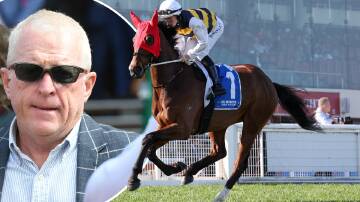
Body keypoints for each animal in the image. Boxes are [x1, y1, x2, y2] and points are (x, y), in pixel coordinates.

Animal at [126, 11, 318, 202]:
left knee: (240, 162)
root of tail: (269, 81)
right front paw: (176, 167)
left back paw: (220, 194)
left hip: (253, 123)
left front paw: (133, 179)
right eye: (134, 38)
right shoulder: (167, 125)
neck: (173, 81)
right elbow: (150, 147)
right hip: (217, 123)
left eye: (149, 38)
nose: (134, 69)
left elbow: (147, 139)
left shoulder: (183, 128)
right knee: (220, 151)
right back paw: (190, 172)